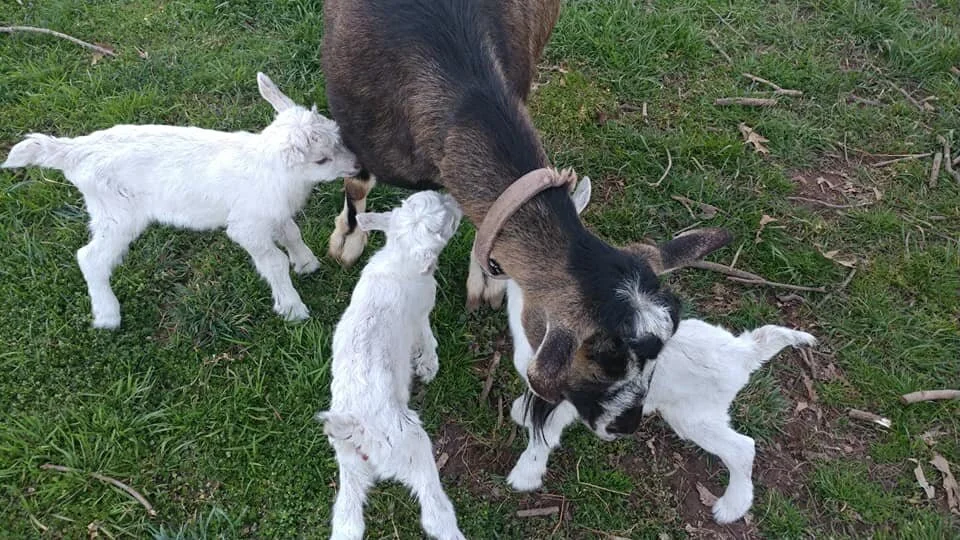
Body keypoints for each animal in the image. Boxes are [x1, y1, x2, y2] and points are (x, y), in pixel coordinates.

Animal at [1, 73, 358, 328]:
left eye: (339, 137)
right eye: (321, 160)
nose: (358, 166)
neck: (275, 169)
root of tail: (75, 151)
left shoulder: (274, 211)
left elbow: (292, 233)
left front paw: (307, 263)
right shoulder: (247, 225)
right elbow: (273, 261)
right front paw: (292, 307)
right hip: (117, 212)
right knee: (90, 257)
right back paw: (107, 316)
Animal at [316, 191, 464, 540]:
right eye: (446, 223)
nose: (452, 198)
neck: (400, 257)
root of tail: (355, 428)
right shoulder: (421, 311)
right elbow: (426, 335)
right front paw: (428, 365)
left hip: (349, 467)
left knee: (348, 520)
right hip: (414, 448)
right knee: (434, 512)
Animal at [322, 0, 732, 429]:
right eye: (601, 359)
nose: (626, 425)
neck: (464, 90)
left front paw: (486, 279)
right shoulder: (356, 132)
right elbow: (357, 185)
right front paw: (349, 236)